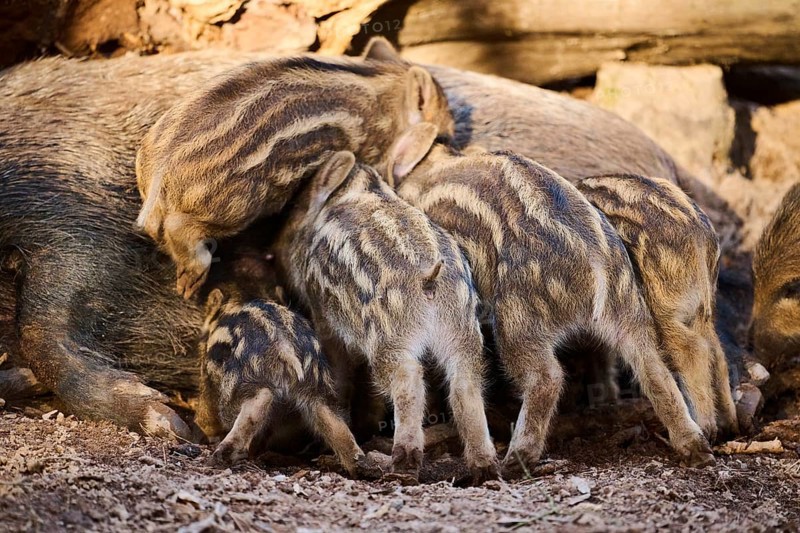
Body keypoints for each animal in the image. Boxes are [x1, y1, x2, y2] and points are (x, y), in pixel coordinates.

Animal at [136, 54, 454, 299]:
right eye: (445, 129)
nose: (452, 140)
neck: (386, 99)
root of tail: (161, 169)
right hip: (235, 205)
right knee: (183, 229)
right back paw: (189, 286)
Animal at [196, 287, 364, 475]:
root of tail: (284, 344)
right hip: (315, 386)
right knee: (333, 421)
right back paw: (359, 464)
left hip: (240, 381)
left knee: (260, 399)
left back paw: (219, 457)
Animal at [275, 151, 498, 483]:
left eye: (294, 210)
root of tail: (429, 278)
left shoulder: (324, 316)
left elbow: (341, 374)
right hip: (462, 330)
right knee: (465, 384)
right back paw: (485, 467)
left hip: (390, 336)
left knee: (408, 379)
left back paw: (404, 462)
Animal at [387, 125, 714, 475]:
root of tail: (594, 263)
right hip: (629, 310)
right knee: (655, 370)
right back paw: (698, 450)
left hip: (518, 318)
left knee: (548, 377)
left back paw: (516, 459)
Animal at [576, 174, 739, 439]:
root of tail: (697, 237)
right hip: (702, 305)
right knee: (716, 350)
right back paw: (731, 425)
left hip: (663, 304)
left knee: (692, 348)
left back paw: (706, 429)